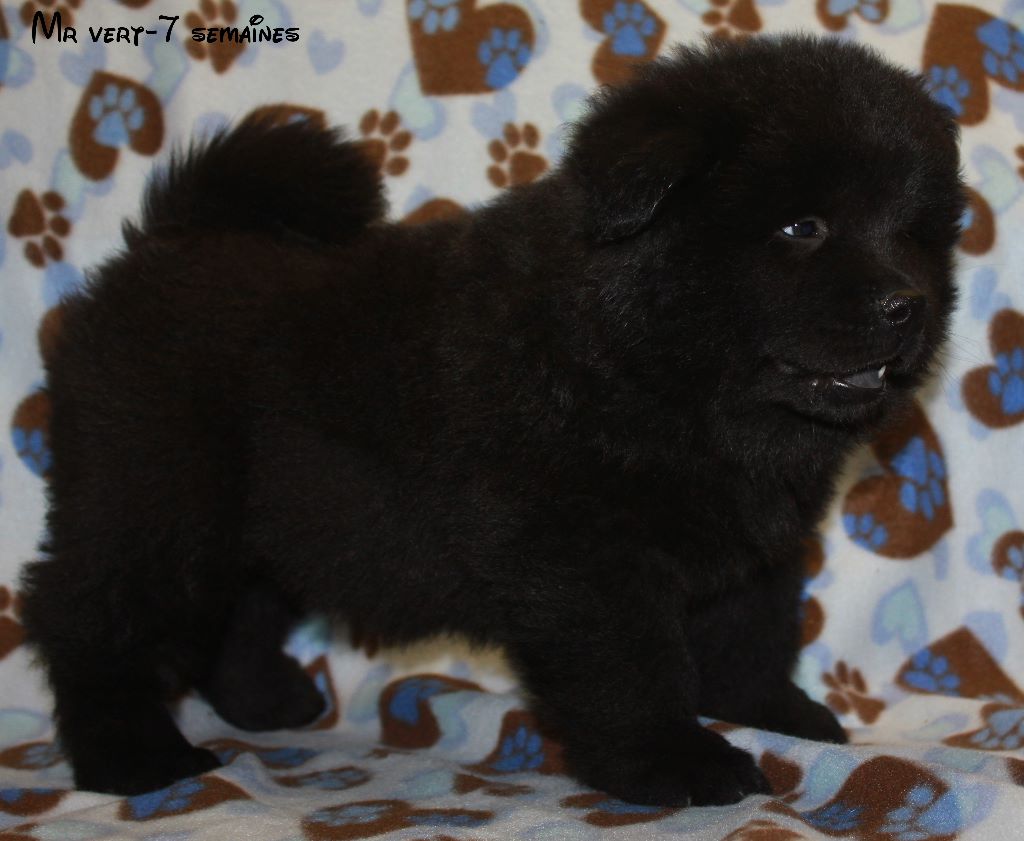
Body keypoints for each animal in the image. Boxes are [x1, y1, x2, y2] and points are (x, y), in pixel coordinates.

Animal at [20, 34, 964, 805]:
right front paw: (676, 763)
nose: (905, 304)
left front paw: (775, 714)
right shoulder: (584, 554)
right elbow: (636, 664)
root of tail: (165, 238)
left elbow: (751, 636)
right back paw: (131, 756)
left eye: (915, 235)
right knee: (87, 614)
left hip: (262, 514)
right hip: (155, 500)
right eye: (803, 227)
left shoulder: (750, 547)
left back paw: (268, 701)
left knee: (241, 606)